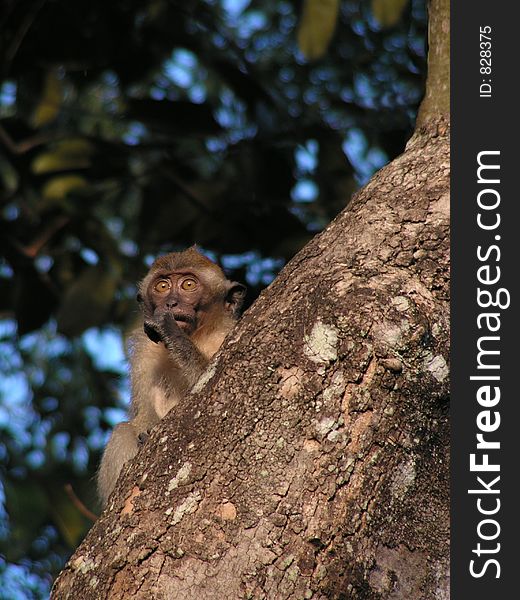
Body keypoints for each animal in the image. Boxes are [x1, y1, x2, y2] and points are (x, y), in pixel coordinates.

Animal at [98, 246, 247, 504]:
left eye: (188, 285)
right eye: (162, 286)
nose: (170, 303)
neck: (198, 335)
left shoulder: (228, 334)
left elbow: (214, 385)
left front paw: (171, 332)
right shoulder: (145, 352)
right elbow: (143, 416)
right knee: (123, 430)